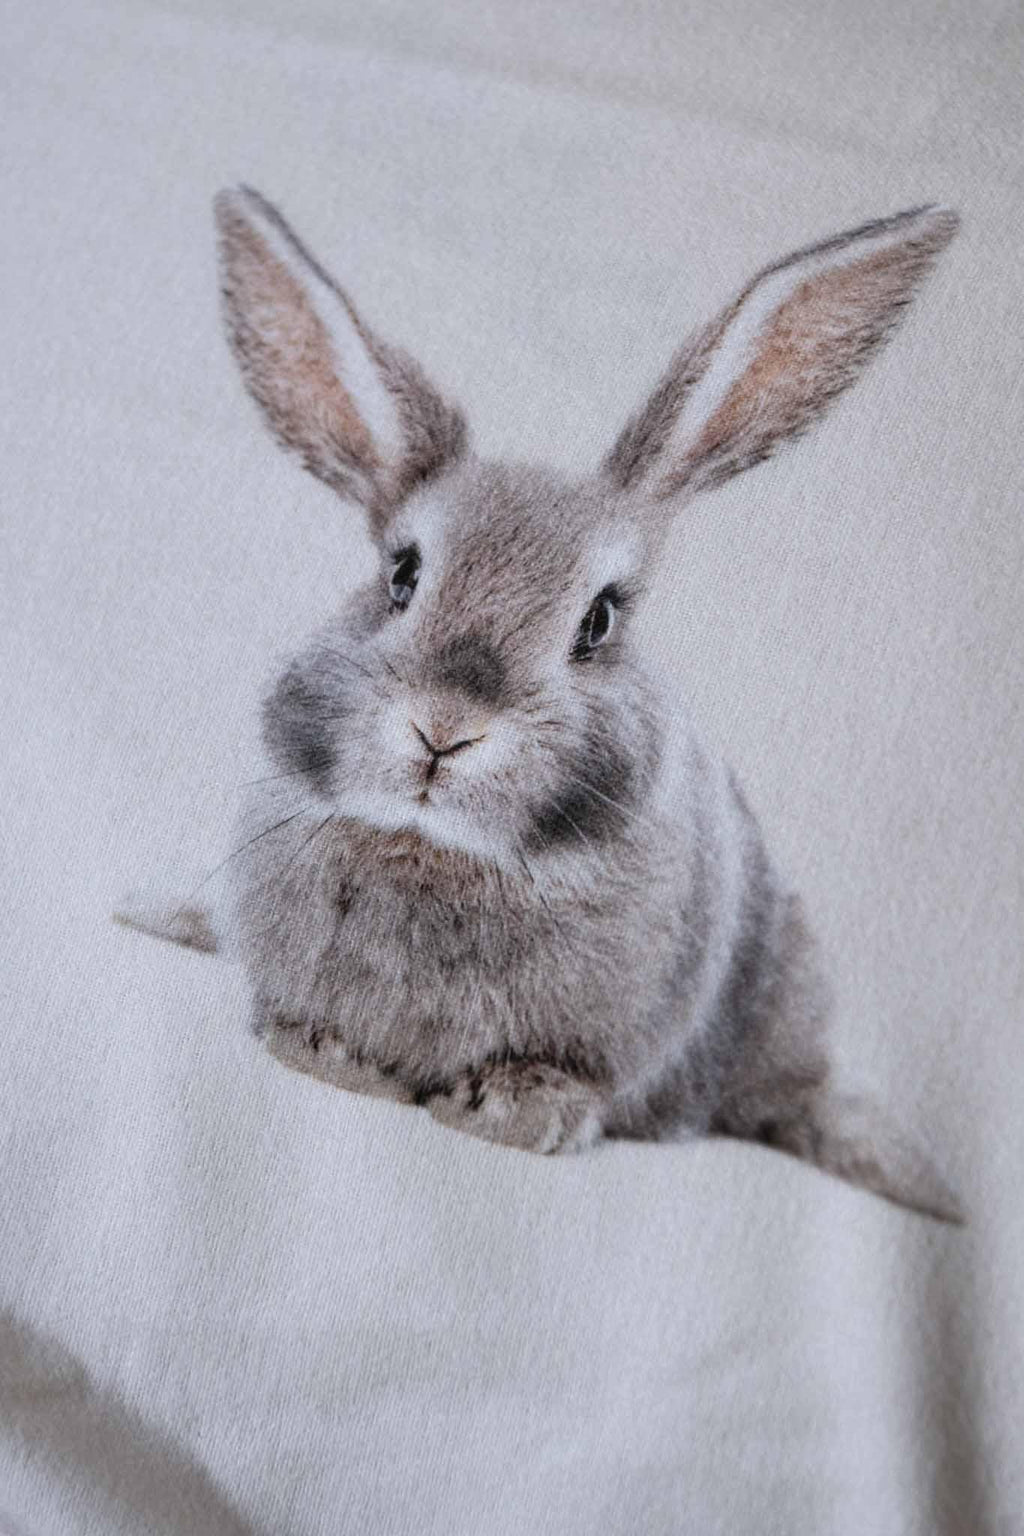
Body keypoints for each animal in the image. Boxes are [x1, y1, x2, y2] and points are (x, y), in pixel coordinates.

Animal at [117, 186, 962, 1221]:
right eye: (401, 576)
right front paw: (329, 1055)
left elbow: (573, 1075)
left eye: (598, 621)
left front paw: (515, 1112)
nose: (445, 729)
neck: (439, 848)